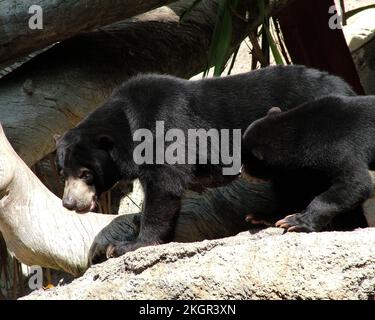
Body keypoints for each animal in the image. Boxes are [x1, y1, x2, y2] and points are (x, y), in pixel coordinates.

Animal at [55, 65, 356, 260]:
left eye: (86, 173)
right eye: (63, 174)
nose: (69, 203)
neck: (127, 126)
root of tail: (348, 88)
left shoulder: (164, 131)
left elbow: (164, 187)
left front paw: (125, 246)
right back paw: (269, 217)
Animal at [242, 95, 374, 232]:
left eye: (247, 162)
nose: (242, 173)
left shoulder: (337, 147)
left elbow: (356, 183)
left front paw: (294, 222)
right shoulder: (310, 168)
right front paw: (262, 216)